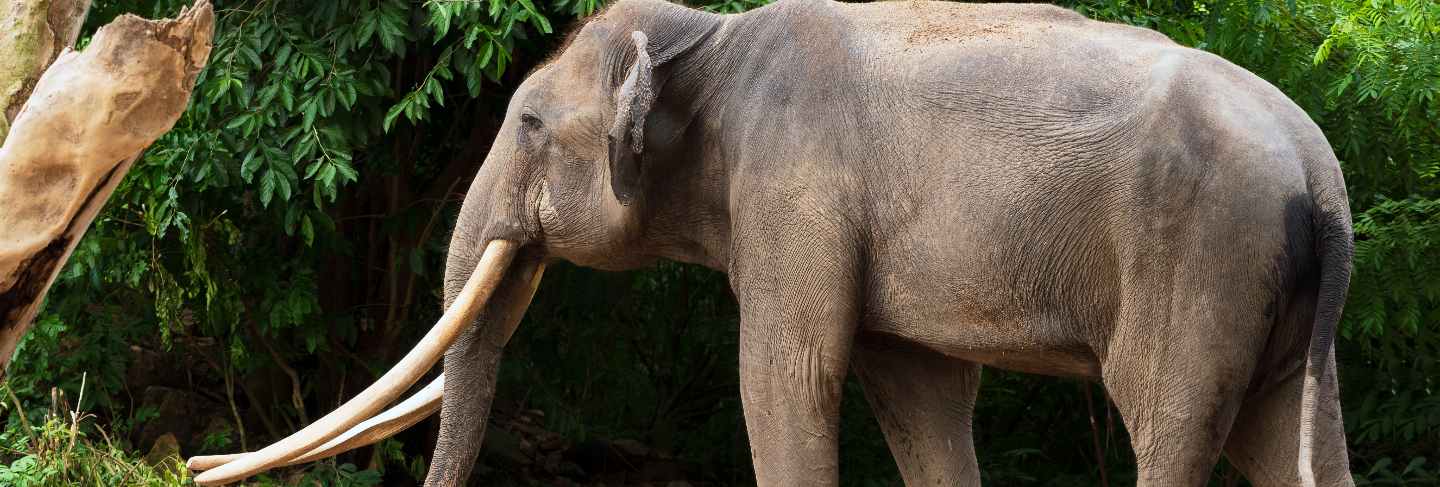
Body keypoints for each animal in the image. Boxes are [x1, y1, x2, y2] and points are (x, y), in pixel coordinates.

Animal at [188, 0, 1347, 484]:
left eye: (525, 124)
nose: (193, 462)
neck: (710, 35)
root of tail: (1322, 170)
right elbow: (918, 398)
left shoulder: (796, 190)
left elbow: (783, 378)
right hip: (1278, 305)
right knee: (1288, 437)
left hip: (1198, 258)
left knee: (1171, 423)